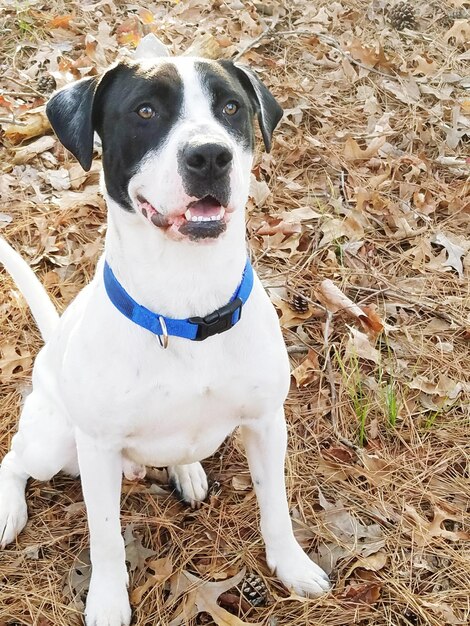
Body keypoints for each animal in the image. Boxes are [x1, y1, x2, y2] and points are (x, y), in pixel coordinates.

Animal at [0, 54, 328, 624]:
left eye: (230, 107)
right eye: (146, 111)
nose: (210, 155)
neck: (187, 303)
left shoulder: (267, 423)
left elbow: (276, 506)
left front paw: (292, 567)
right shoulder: (98, 448)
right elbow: (107, 540)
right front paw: (108, 603)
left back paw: (187, 470)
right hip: (52, 441)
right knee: (14, 460)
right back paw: (9, 510)